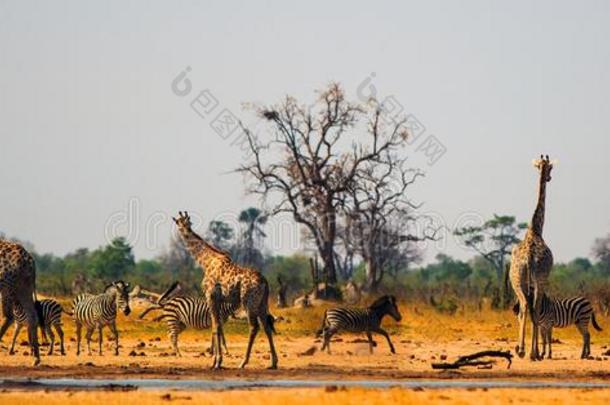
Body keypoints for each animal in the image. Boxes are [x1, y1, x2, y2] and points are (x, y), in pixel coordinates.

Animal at [170, 211, 276, 370]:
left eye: (183, 223)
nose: (185, 231)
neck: (206, 262)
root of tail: (264, 282)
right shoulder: (220, 299)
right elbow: (219, 327)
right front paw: (217, 359)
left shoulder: (210, 295)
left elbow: (215, 327)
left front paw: (217, 362)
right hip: (262, 302)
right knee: (267, 326)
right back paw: (273, 362)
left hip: (249, 301)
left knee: (254, 327)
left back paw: (243, 362)